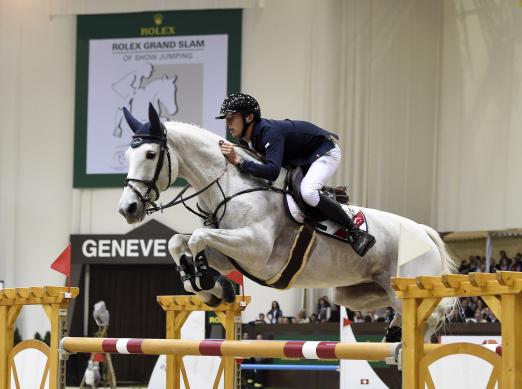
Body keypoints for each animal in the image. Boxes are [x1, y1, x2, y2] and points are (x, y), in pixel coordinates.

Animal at [117, 104, 450, 338]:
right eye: (127, 156)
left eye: (150, 154)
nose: (127, 209)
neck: (228, 184)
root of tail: (424, 232)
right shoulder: (231, 255)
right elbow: (178, 241)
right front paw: (209, 287)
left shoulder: (256, 249)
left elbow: (198, 237)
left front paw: (206, 281)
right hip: (359, 293)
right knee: (403, 312)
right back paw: (393, 334)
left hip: (406, 282)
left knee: (430, 317)